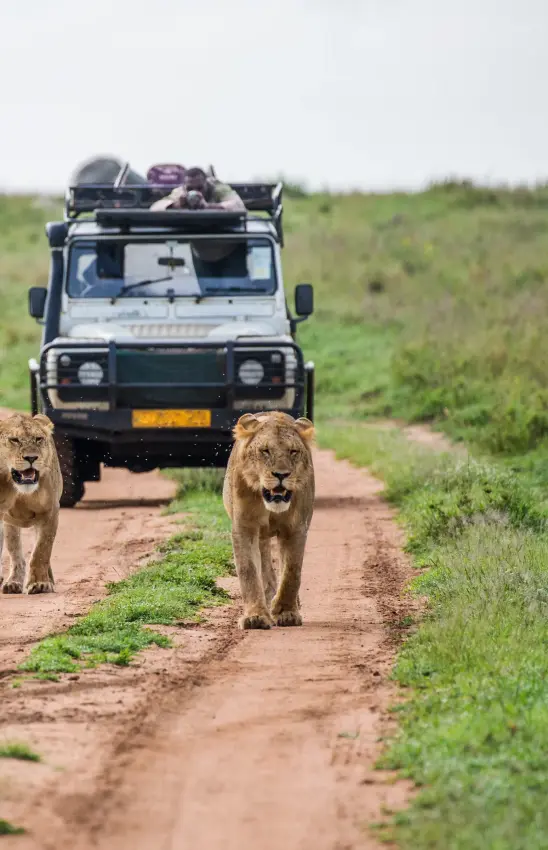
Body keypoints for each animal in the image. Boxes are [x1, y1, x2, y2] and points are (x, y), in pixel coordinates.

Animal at [0, 414, 63, 594]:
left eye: (38, 439)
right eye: (14, 440)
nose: (31, 458)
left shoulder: (50, 512)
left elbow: (41, 551)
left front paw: (40, 583)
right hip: (9, 525)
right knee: (16, 555)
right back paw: (13, 583)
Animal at [223, 411, 315, 630]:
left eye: (293, 451)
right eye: (265, 451)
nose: (281, 475)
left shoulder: (296, 528)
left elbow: (291, 572)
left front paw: (286, 612)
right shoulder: (244, 527)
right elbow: (248, 570)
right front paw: (255, 616)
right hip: (261, 536)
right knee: (264, 564)